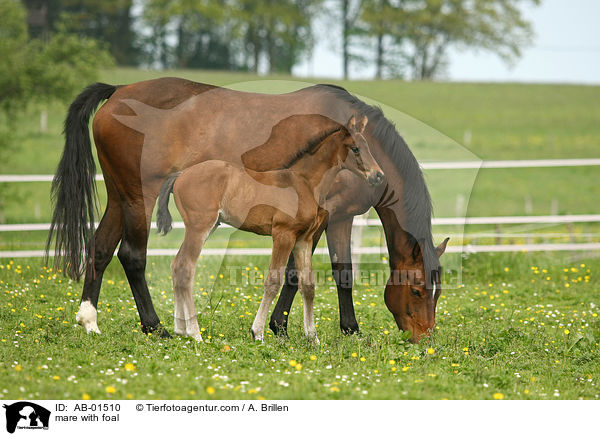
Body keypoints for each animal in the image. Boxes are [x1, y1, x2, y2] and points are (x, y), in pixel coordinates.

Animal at [158, 115, 384, 340]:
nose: (379, 176)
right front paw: (257, 332)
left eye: (368, 147)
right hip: (199, 227)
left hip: (208, 227)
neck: (304, 184)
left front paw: (313, 337)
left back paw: (180, 329)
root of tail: (180, 175)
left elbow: (308, 285)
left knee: (177, 265)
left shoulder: (304, 239)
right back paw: (195, 333)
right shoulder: (283, 234)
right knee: (186, 267)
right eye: (355, 148)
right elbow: (273, 281)